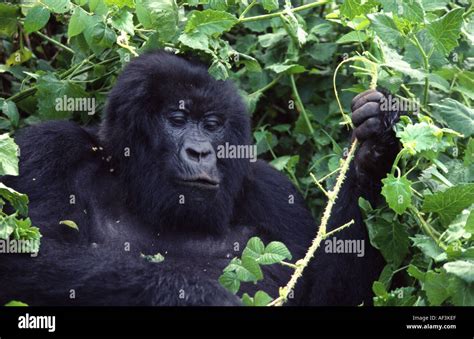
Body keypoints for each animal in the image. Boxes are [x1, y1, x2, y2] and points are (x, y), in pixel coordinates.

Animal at [0, 51, 400, 308]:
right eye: (177, 120)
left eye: (211, 125)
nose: (200, 152)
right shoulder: (48, 149)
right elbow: (23, 251)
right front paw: (197, 293)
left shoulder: (274, 192)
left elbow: (330, 298)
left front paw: (373, 148)